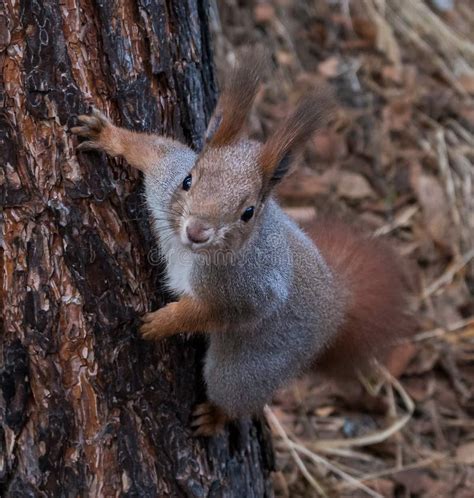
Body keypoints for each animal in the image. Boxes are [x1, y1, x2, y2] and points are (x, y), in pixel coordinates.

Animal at [71, 56, 414, 436]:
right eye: (188, 180)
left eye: (248, 212)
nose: (197, 231)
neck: (191, 252)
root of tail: (337, 306)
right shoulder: (166, 176)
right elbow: (155, 150)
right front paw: (108, 136)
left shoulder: (250, 290)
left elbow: (214, 311)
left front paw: (164, 323)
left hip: (249, 367)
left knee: (235, 393)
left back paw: (216, 416)